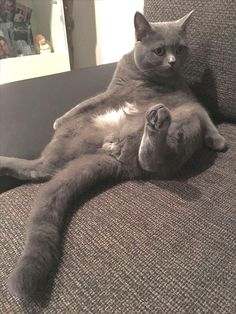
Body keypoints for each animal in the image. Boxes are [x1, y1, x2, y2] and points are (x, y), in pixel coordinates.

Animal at [2, 11, 227, 300]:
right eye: (159, 50)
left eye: (180, 49)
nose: (173, 62)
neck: (148, 77)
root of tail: (116, 155)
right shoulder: (113, 90)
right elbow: (86, 102)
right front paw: (59, 117)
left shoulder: (190, 102)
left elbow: (206, 116)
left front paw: (218, 140)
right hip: (72, 135)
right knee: (44, 167)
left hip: (182, 121)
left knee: (157, 161)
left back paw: (156, 122)